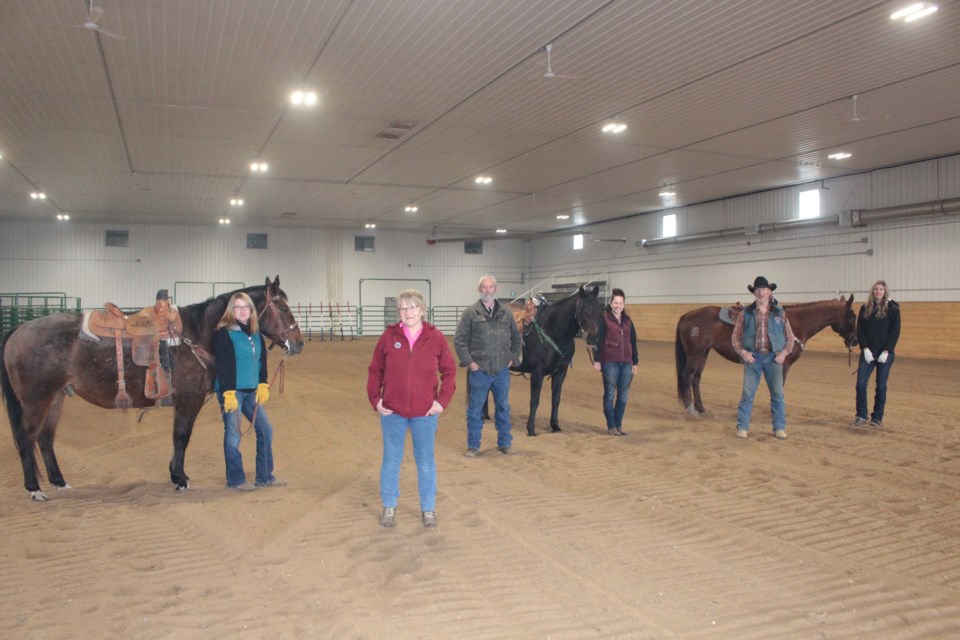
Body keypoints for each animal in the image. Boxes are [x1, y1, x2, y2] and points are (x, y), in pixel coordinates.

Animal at [0, 276, 304, 500]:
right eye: (284, 308)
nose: (299, 343)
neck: (196, 334)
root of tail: (19, 329)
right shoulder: (188, 402)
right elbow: (181, 438)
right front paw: (179, 479)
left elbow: (178, 439)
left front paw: (177, 475)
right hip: (37, 400)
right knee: (26, 438)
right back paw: (35, 489)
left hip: (56, 398)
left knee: (45, 439)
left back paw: (59, 481)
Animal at [510, 284, 600, 436]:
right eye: (582, 309)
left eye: (599, 308)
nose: (592, 337)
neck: (552, 330)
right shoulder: (537, 373)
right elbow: (535, 400)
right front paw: (531, 429)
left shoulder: (560, 372)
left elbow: (556, 399)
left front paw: (555, 425)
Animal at [676, 296, 856, 416]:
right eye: (852, 317)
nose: (855, 341)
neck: (795, 323)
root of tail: (687, 315)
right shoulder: (782, 364)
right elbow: (779, 387)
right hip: (695, 355)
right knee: (687, 376)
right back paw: (690, 409)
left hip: (703, 354)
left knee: (696, 379)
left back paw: (701, 408)